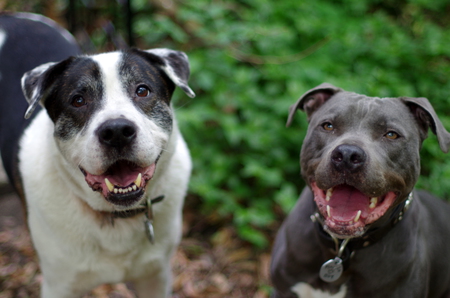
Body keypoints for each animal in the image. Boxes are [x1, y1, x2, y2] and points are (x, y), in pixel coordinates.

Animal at [1, 12, 195, 298]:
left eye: (142, 90)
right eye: (78, 100)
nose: (117, 132)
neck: (116, 216)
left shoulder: (155, 277)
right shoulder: (59, 285)